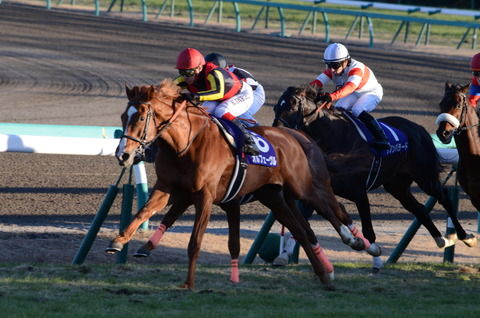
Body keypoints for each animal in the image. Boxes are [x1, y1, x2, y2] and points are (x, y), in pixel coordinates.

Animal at [107, 79, 366, 288]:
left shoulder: (204, 195)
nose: (123, 155)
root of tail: (296, 136)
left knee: (331, 208)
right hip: (273, 196)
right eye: (123, 116)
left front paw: (189, 283)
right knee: (302, 231)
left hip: (303, 186)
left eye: (141, 117)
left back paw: (355, 241)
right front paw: (118, 242)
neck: (186, 143)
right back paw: (325, 275)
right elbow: (143, 212)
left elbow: (195, 242)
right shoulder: (168, 187)